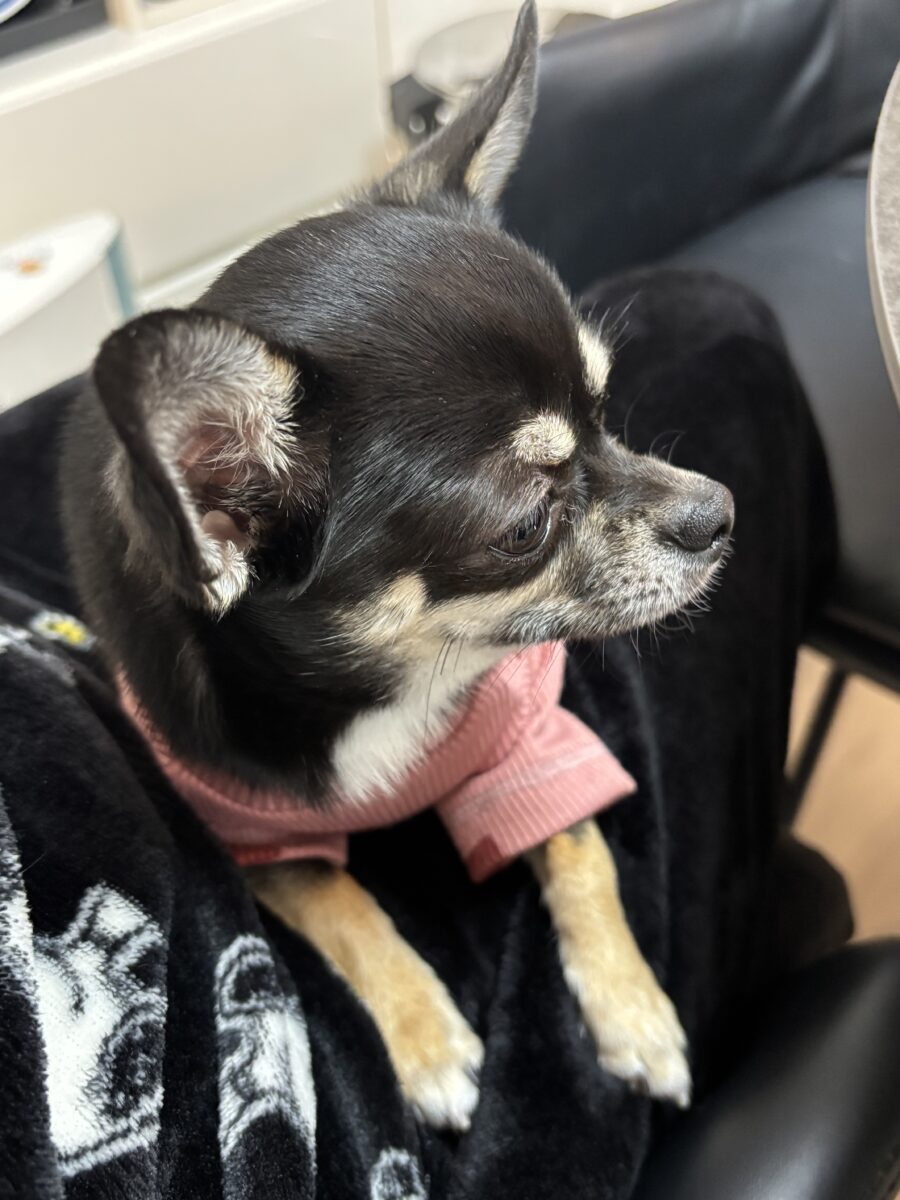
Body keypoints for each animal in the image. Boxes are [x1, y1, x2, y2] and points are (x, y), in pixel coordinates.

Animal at [60, 0, 733, 1131]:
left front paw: (632, 1006)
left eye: (609, 409)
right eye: (523, 527)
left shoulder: (538, 733)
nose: (718, 512)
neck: (389, 686)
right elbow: (338, 897)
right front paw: (424, 1037)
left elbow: (581, 848)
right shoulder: (259, 839)